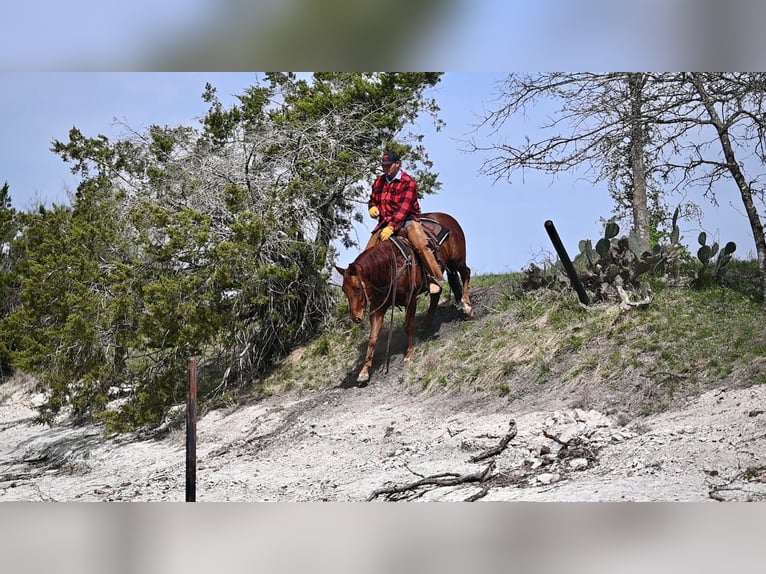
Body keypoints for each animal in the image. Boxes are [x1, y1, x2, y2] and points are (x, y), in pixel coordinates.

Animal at [335, 212, 472, 383]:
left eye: (357, 288)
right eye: (344, 290)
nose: (356, 317)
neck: (389, 267)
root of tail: (447, 217)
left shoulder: (410, 299)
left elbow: (408, 326)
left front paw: (409, 354)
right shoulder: (377, 308)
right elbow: (373, 338)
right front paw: (364, 372)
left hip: (457, 260)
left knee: (466, 273)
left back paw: (467, 306)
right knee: (437, 293)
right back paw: (426, 324)